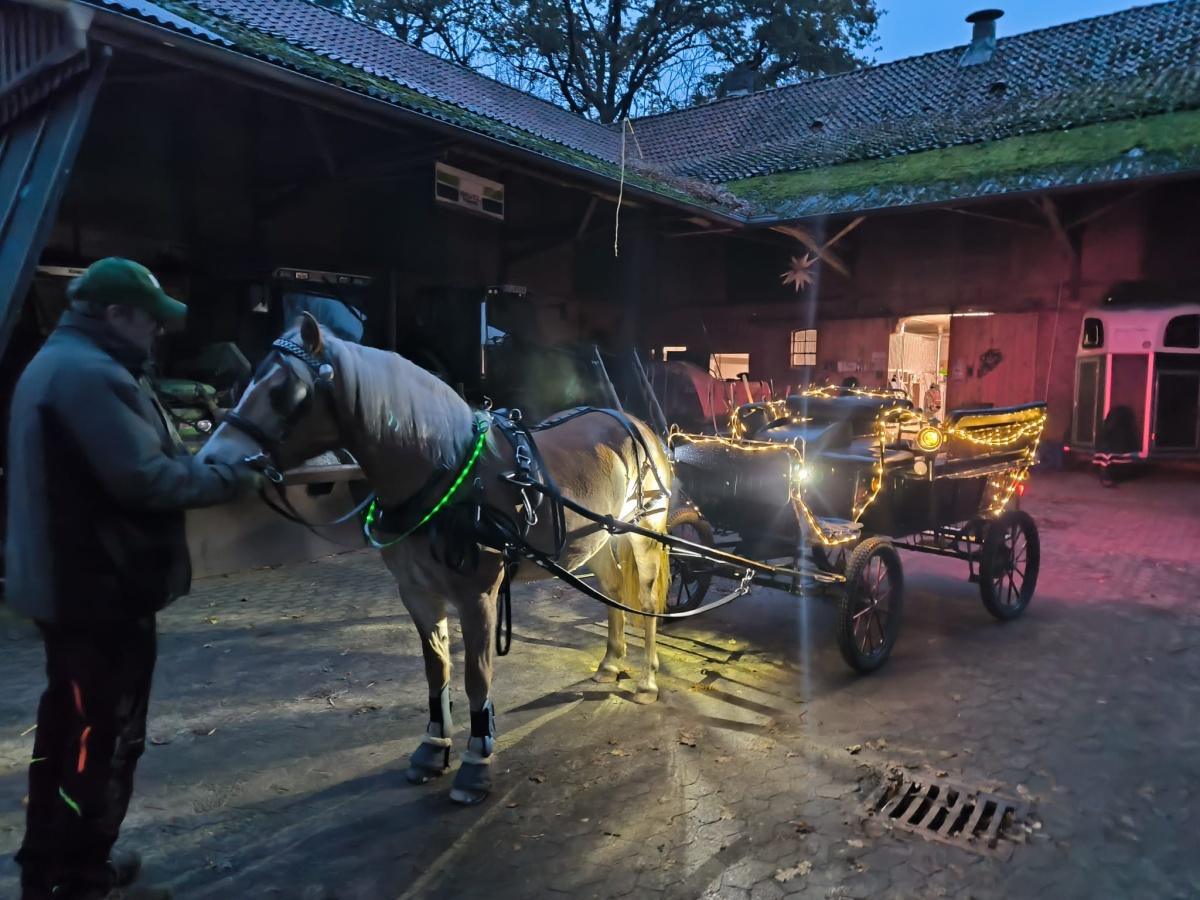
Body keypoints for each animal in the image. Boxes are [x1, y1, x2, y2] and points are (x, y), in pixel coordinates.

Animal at [201, 314, 672, 801]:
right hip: (600, 539)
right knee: (613, 592)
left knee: (647, 604)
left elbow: (475, 677)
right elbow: (436, 670)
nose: (211, 461)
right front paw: (432, 747)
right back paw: (610, 663)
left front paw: (476, 761)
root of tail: (631, 420)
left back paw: (647, 680)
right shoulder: (417, 593)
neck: (447, 474)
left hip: (645, 531)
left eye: (283, 391)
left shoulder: (478, 596)